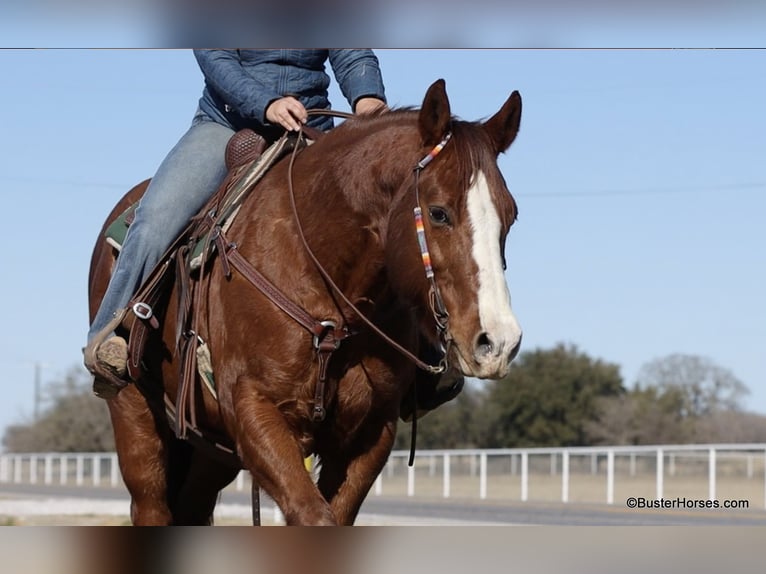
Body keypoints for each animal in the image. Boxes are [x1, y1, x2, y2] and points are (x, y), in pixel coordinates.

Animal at [87, 79, 523, 525]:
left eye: (511, 216)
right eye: (438, 213)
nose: (498, 342)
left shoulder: (370, 434)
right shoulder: (255, 411)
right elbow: (312, 515)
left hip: (210, 450)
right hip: (135, 419)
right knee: (151, 503)